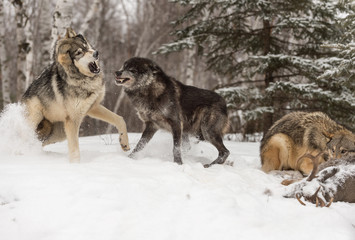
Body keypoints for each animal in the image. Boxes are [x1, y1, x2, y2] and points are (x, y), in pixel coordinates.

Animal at [21, 27, 129, 163]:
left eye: (86, 46)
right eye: (79, 53)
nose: (96, 53)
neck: (84, 80)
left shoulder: (93, 107)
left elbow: (120, 119)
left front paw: (124, 143)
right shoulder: (73, 121)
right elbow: (75, 150)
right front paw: (76, 165)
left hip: (57, 134)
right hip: (35, 120)